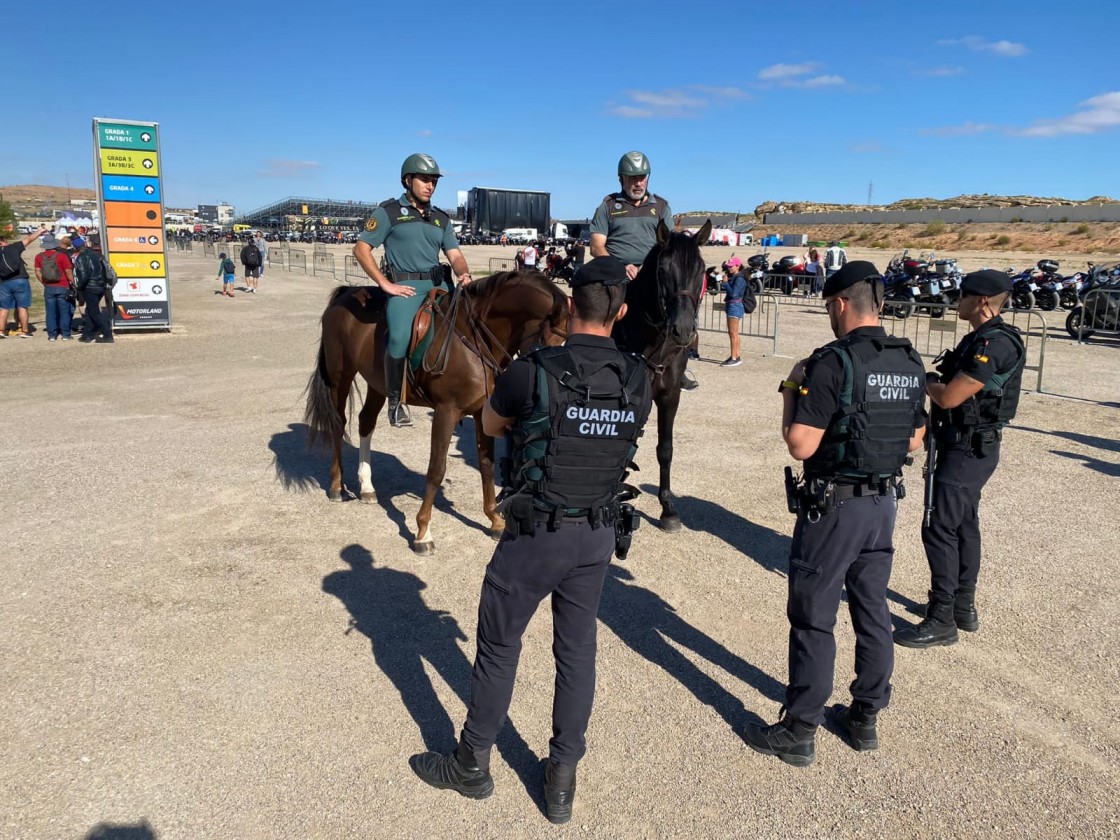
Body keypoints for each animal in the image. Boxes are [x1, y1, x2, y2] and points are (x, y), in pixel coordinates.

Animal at [304, 273, 568, 555]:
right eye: (549, 347)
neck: (474, 340)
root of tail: (346, 292)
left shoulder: (481, 412)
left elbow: (486, 464)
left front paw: (495, 520)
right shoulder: (446, 412)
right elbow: (436, 469)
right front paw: (423, 532)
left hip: (378, 384)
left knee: (366, 423)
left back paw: (366, 487)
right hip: (339, 377)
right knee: (338, 424)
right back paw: (336, 486)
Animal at [613, 218, 707, 533]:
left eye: (701, 270)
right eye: (664, 269)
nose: (684, 330)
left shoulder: (669, 395)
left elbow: (665, 449)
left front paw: (668, 509)